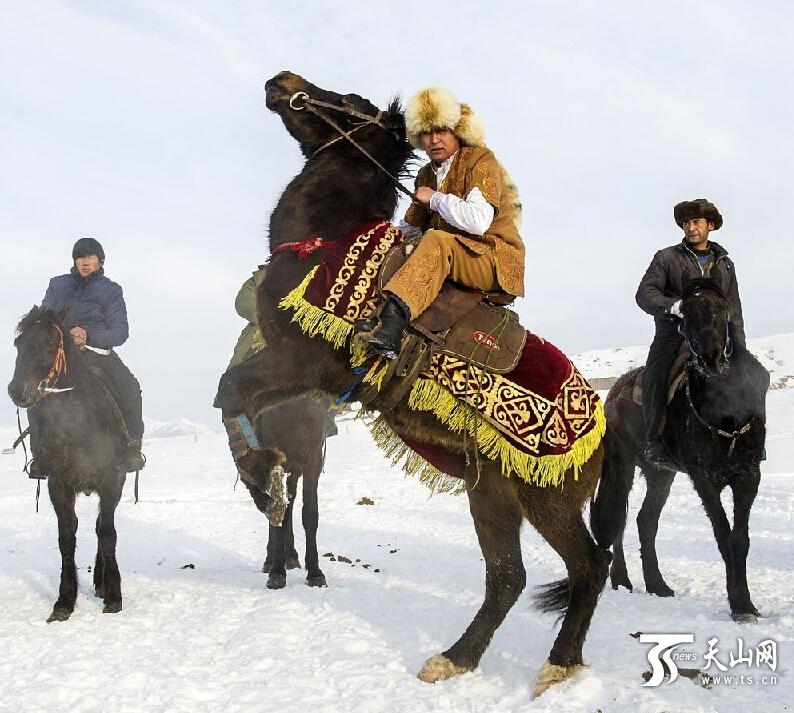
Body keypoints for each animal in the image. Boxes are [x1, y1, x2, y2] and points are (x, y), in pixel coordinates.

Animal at [7, 308, 129, 620]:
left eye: (51, 342)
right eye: (18, 343)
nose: (17, 391)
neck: (79, 424)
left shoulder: (111, 481)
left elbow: (107, 533)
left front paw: (113, 595)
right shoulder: (58, 485)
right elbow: (66, 537)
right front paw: (64, 600)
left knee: (101, 527)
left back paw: (101, 582)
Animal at [217, 71, 624, 696]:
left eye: (351, 103)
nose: (282, 82)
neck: (325, 240)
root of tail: (601, 429)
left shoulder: (303, 360)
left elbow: (229, 390)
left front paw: (266, 485)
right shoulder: (299, 375)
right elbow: (237, 403)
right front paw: (269, 481)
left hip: (544, 500)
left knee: (587, 566)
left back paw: (557, 665)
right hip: (491, 494)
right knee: (507, 577)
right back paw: (454, 658)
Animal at [600, 278, 768, 624]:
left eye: (722, 308)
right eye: (685, 316)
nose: (711, 358)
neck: (726, 415)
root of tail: (612, 395)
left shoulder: (748, 475)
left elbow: (740, 539)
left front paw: (746, 603)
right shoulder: (704, 479)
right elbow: (724, 536)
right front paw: (739, 604)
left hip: (660, 473)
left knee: (645, 521)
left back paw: (657, 584)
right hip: (623, 466)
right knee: (620, 519)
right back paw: (622, 579)